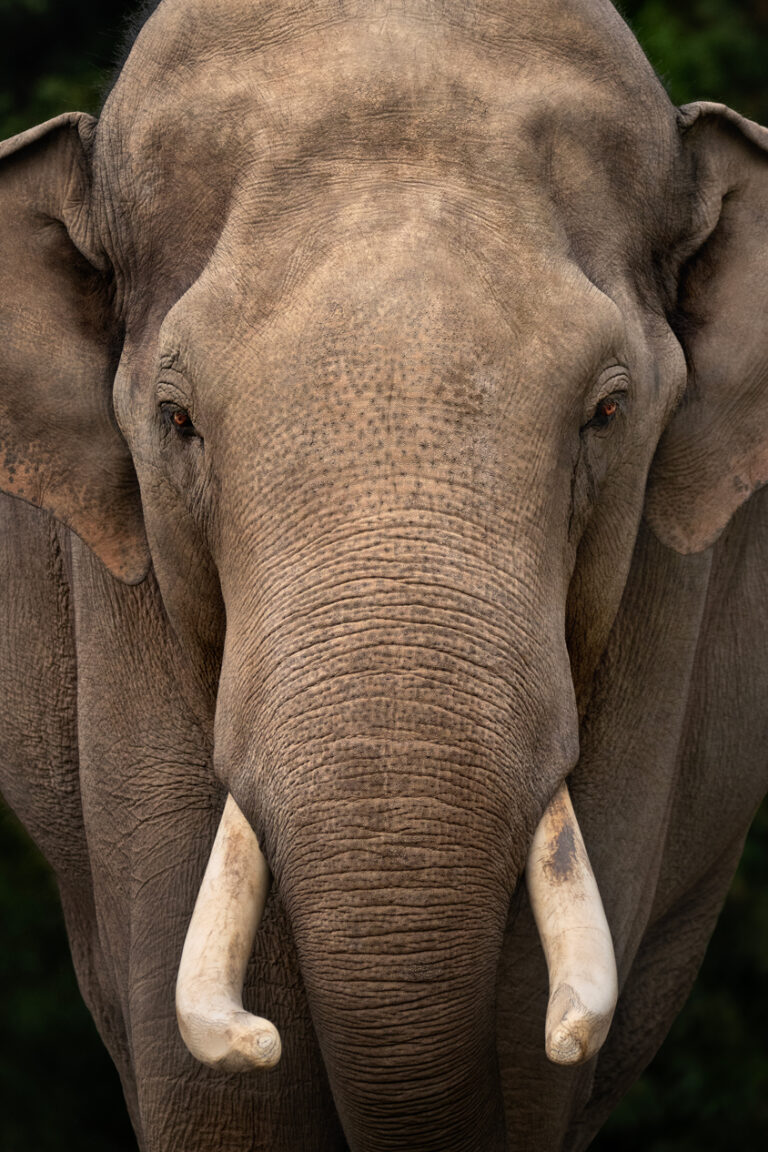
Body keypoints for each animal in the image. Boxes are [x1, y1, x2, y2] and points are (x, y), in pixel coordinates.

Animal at [1, 0, 767, 1148]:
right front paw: (255, 1047)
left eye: (608, 411)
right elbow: (224, 1093)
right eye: (176, 422)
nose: (255, 1029)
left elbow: (522, 1059)